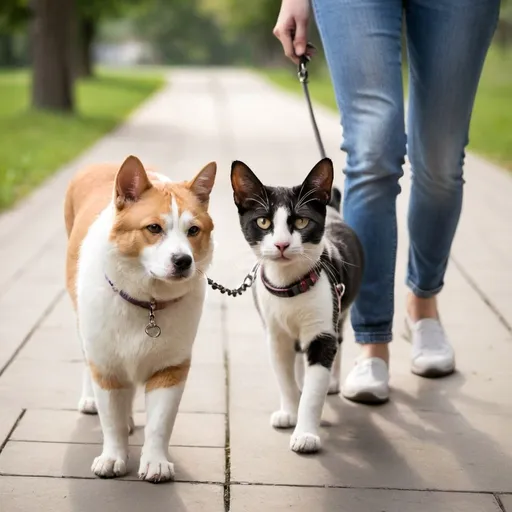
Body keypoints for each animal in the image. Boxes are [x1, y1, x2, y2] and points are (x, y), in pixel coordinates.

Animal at [64, 155, 216, 480]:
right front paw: (112, 457)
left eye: (193, 231)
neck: (148, 304)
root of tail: (103, 162)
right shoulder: (106, 363)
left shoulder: (171, 366)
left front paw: (155, 461)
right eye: (154, 228)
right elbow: (111, 419)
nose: (183, 261)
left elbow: (160, 423)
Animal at [232, 159, 364, 452]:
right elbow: (284, 375)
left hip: (340, 307)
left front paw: (305, 434)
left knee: (339, 339)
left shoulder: (323, 327)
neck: (290, 286)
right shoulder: (275, 333)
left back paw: (333, 381)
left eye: (302, 221)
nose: (282, 244)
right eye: (263, 221)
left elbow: (315, 390)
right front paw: (289, 411)